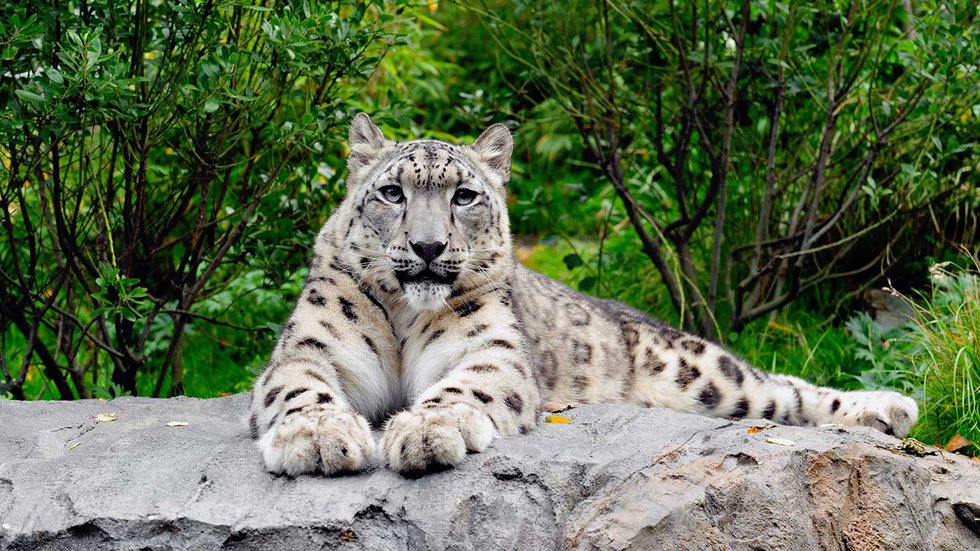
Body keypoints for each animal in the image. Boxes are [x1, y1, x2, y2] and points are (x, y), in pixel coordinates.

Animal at [247, 113, 919, 476]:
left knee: (781, 388)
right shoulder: (311, 348)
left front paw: (425, 431)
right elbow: (298, 386)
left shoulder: (490, 350)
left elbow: (466, 386)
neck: (404, 317)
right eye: (392, 193)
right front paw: (318, 439)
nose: (429, 248)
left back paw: (889, 406)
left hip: (697, 370)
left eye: (464, 196)